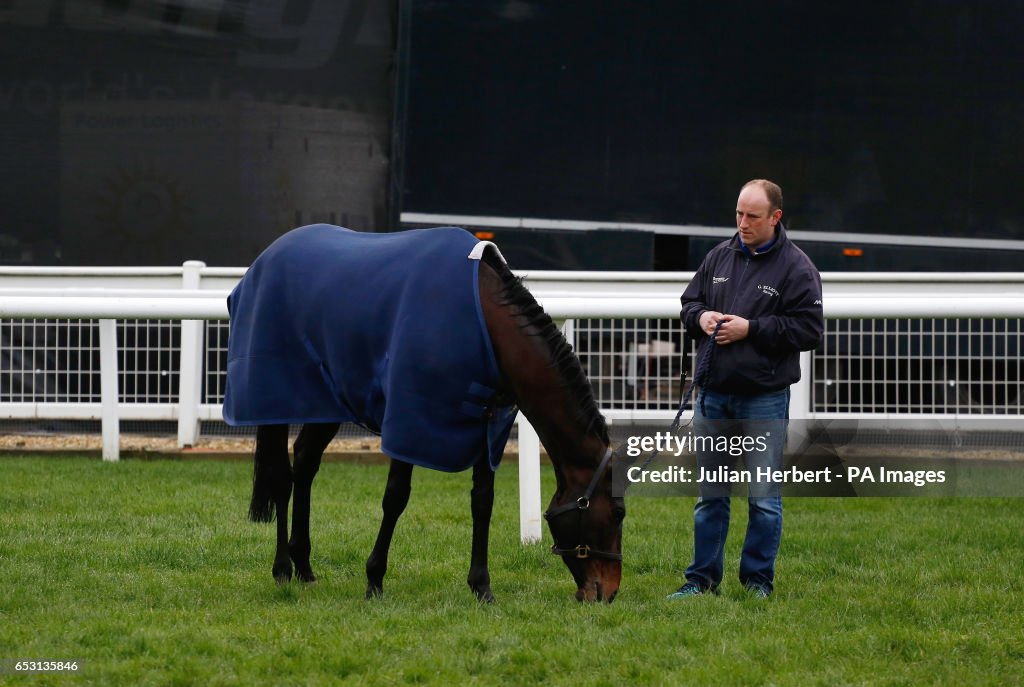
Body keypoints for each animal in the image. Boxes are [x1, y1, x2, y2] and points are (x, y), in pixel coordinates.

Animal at [225, 224, 622, 602]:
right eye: (617, 513)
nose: (608, 591)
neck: (483, 323)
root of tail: (266, 258)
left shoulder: (487, 424)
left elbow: (483, 501)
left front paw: (481, 586)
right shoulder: (410, 418)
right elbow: (396, 497)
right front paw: (374, 579)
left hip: (326, 401)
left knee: (305, 463)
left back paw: (304, 565)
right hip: (276, 398)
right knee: (281, 476)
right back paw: (282, 568)